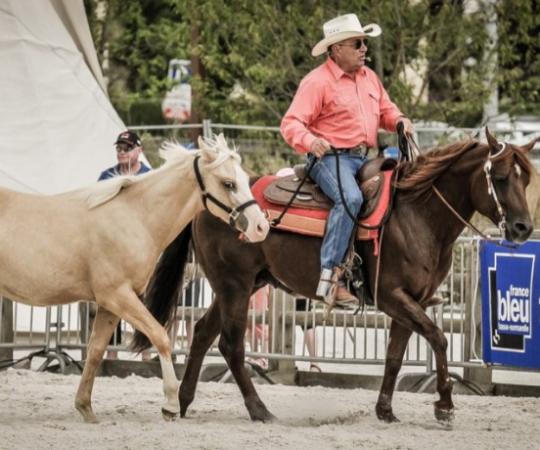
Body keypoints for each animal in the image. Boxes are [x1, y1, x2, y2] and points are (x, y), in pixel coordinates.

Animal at [0, 134, 268, 422]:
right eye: (228, 183)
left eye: (244, 178)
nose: (261, 226)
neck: (135, 218)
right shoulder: (118, 296)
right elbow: (160, 337)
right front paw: (170, 405)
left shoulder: (109, 305)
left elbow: (95, 351)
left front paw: (86, 408)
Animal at [135, 128, 536, 424]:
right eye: (501, 178)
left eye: (528, 178)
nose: (523, 228)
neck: (418, 216)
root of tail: (203, 204)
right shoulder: (393, 297)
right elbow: (437, 337)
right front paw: (445, 405)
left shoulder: (412, 301)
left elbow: (395, 355)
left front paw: (385, 410)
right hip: (235, 284)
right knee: (231, 345)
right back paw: (259, 409)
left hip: (241, 285)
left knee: (203, 333)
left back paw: (182, 402)